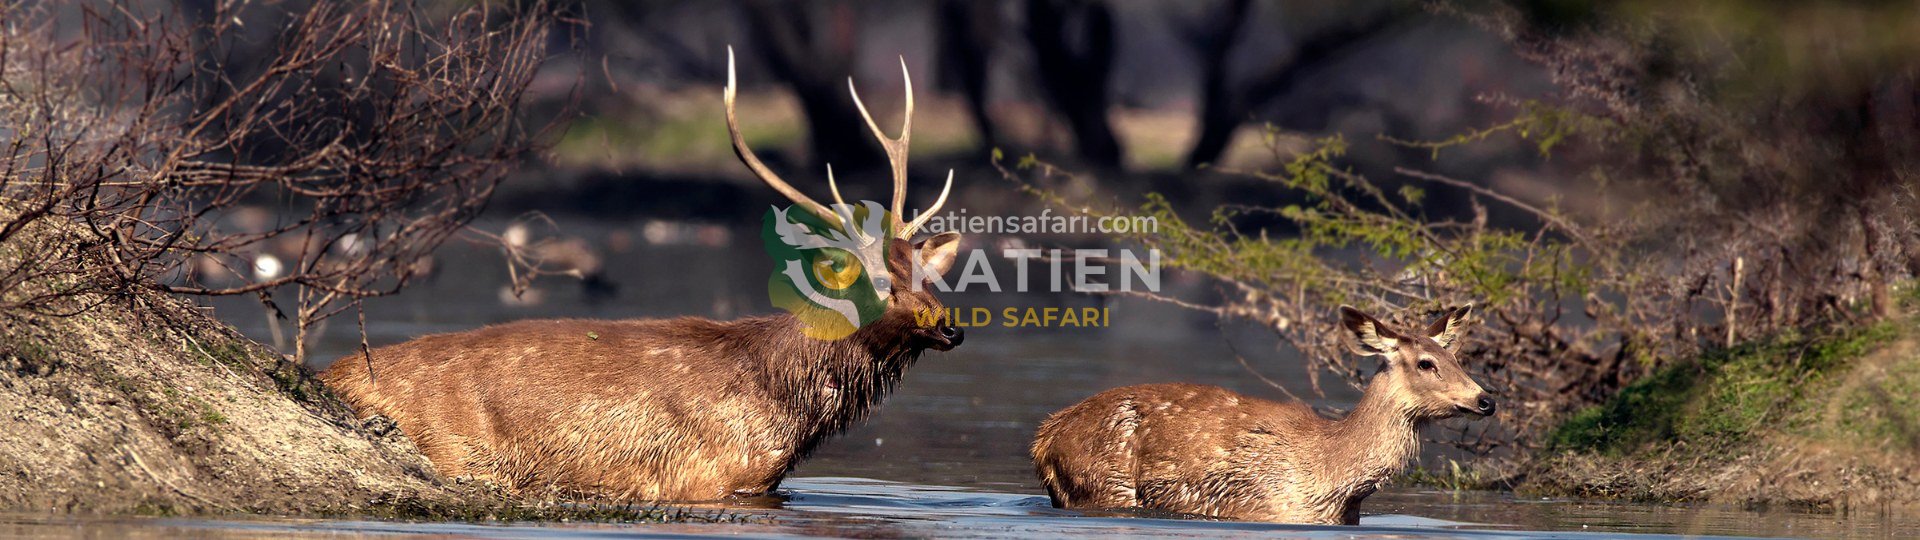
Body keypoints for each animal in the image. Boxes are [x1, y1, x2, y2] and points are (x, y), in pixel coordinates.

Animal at [318, 48, 966, 502]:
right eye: (877, 282)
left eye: (927, 276)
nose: (950, 327)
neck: (787, 412)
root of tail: (330, 376)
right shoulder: (710, 476)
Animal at [1029, 304, 1493, 525]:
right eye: (1426, 363)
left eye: (1454, 356)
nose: (1486, 399)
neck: (1335, 482)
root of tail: (1044, 439)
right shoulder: (1268, 506)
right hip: (1104, 483)